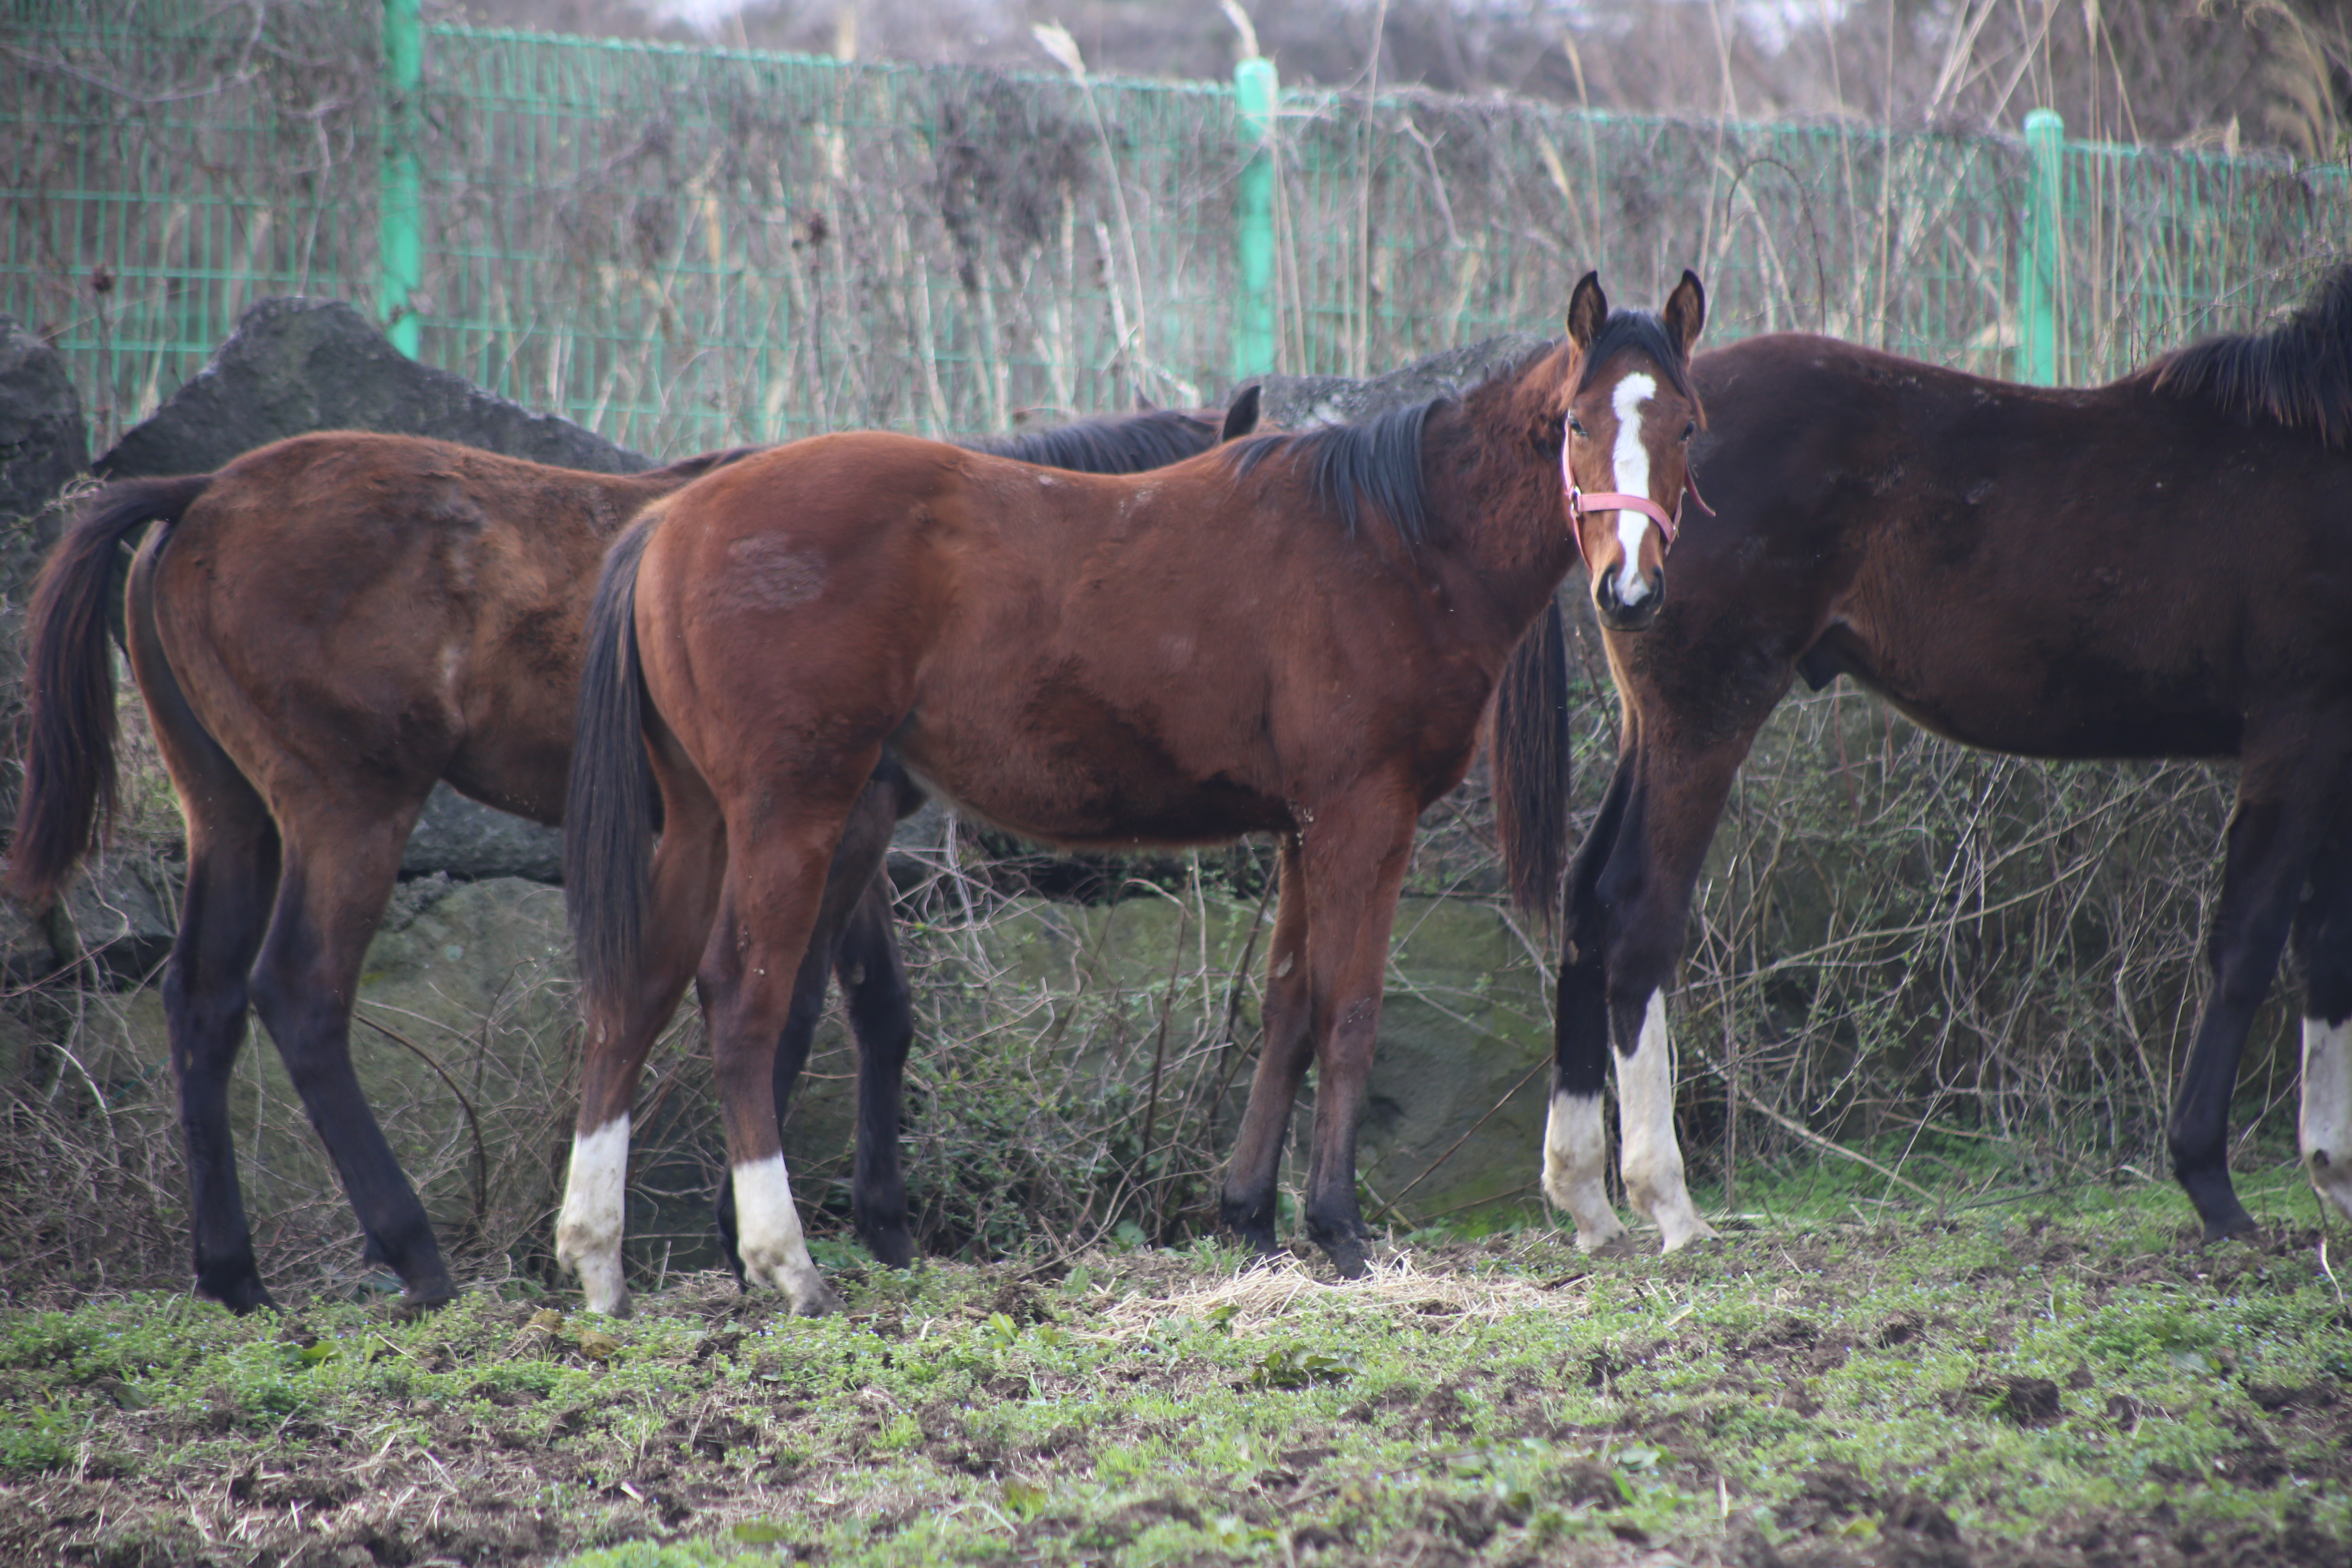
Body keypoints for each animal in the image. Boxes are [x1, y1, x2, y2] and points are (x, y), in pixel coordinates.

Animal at [9, 399, 1261, 1316]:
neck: (960, 554)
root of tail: (201, 492)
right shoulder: (832, 823)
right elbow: (799, 1010)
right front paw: (764, 1228)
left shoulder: (829, 828)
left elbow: (872, 1009)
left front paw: (879, 1225)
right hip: (348, 809)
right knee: (301, 995)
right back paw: (416, 1255)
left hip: (232, 815)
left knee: (203, 1001)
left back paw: (234, 1275)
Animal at [564, 272, 1712, 1316]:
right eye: (1575, 423)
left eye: (1688, 426)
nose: (1630, 591)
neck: (1394, 541)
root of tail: (673, 518)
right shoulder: (1361, 818)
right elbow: (1346, 1010)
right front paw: (1336, 1227)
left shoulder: (1302, 829)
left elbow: (1284, 1010)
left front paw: (1250, 1218)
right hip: (791, 814)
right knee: (740, 1001)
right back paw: (785, 1262)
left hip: (713, 823)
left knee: (635, 995)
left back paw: (598, 1260)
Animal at [1552, 263, 2352, 1260]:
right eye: (1576, 425)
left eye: (1683, 430)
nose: (1630, 583)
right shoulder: (2297, 726)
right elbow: (2251, 942)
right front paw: (2214, 1184)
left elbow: (2331, 947)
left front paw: (2335, 1172)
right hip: (1703, 718)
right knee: (1638, 911)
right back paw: (1667, 1198)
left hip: (1649, 722)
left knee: (1584, 899)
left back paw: (1584, 1195)